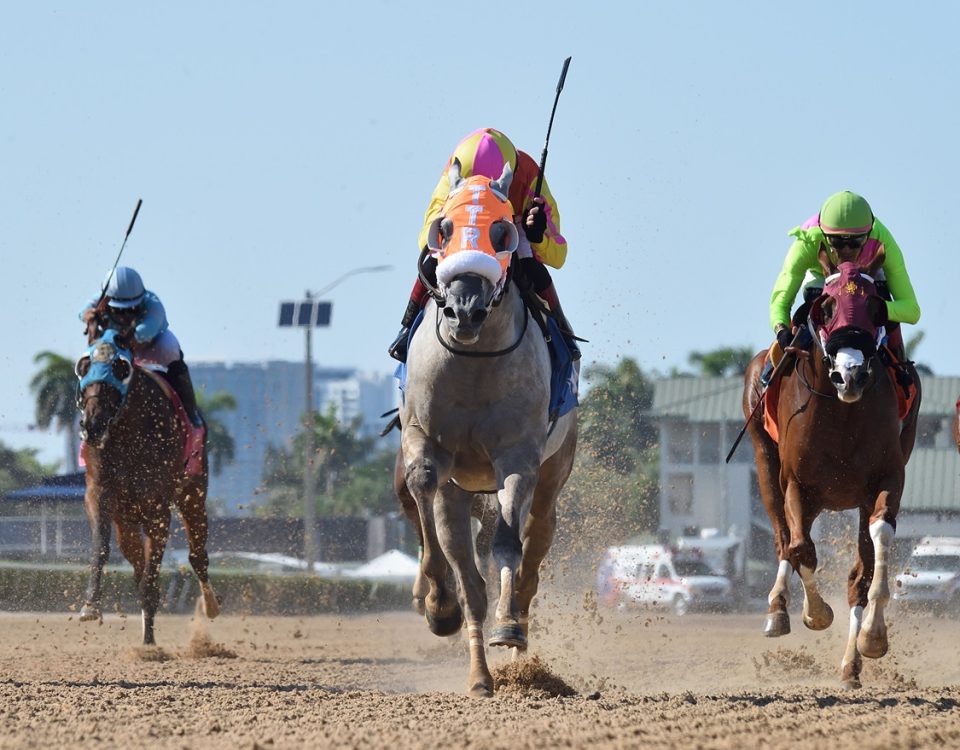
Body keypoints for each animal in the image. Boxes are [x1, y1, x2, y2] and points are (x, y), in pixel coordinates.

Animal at [75, 328, 219, 648]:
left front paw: (149, 640)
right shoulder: (98, 493)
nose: (92, 424)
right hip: (127, 522)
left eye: (121, 368)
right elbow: (101, 547)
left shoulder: (157, 508)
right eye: (84, 366)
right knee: (137, 562)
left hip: (193, 494)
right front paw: (91, 605)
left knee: (198, 556)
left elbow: (154, 573)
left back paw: (210, 606)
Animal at [400, 160, 576, 700]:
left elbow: (506, 544)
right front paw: (439, 605)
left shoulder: (517, 456)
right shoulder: (426, 440)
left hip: (554, 471)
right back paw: (479, 677)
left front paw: (509, 626)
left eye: (504, 232)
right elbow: (423, 485)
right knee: (470, 576)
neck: (474, 362)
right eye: (444, 229)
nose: (465, 309)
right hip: (459, 490)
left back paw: (516, 635)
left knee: (532, 548)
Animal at [748, 248, 920, 692]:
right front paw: (815, 613)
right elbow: (800, 549)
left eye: (877, 307)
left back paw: (850, 664)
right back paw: (777, 610)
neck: (842, 416)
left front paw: (873, 638)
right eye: (825, 307)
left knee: (854, 570)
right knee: (783, 539)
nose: (851, 374)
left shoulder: (886, 480)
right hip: (766, 463)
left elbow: (872, 557)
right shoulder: (796, 483)